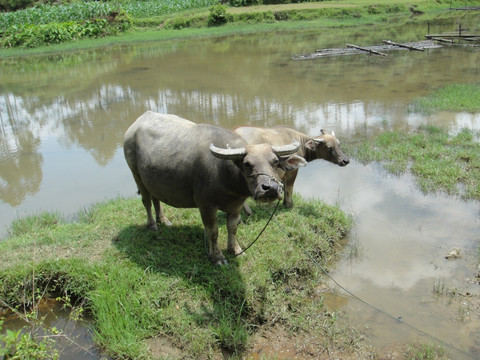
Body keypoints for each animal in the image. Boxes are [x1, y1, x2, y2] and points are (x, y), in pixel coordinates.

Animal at [122, 111, 306, 266]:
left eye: (275, 161)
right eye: (247, 164)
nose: (270, 188)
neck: (225, 174)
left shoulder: (236, 206)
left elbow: (233, 228)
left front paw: (236, 249)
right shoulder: (206, 206)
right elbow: (213, 232)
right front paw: (217, 257)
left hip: (152, 179)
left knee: (156, 198)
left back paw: (163, 220)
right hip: (136, 174)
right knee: (146, 201)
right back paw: (152, 225)